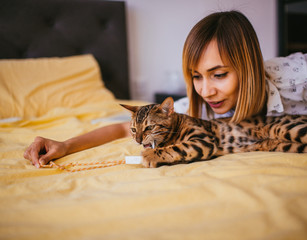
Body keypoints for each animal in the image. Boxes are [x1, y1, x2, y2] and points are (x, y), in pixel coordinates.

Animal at [121, 97, 307, 167]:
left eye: (149, 127)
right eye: (133, 130)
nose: (138, 140)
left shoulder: (203, 140)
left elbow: (177, 148)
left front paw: (150, 155)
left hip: (285, 128)